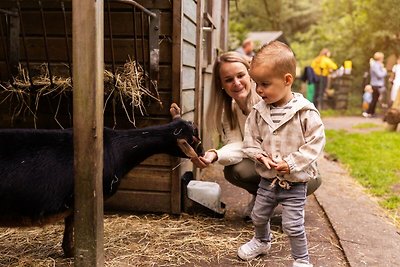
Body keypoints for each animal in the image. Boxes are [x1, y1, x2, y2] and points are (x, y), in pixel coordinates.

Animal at [0, 103, 203, 256]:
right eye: (194, 140)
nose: (202, 153)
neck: (119, 149)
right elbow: (74, 222)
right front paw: (73, 251)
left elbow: (69, 222)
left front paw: (68, 250)